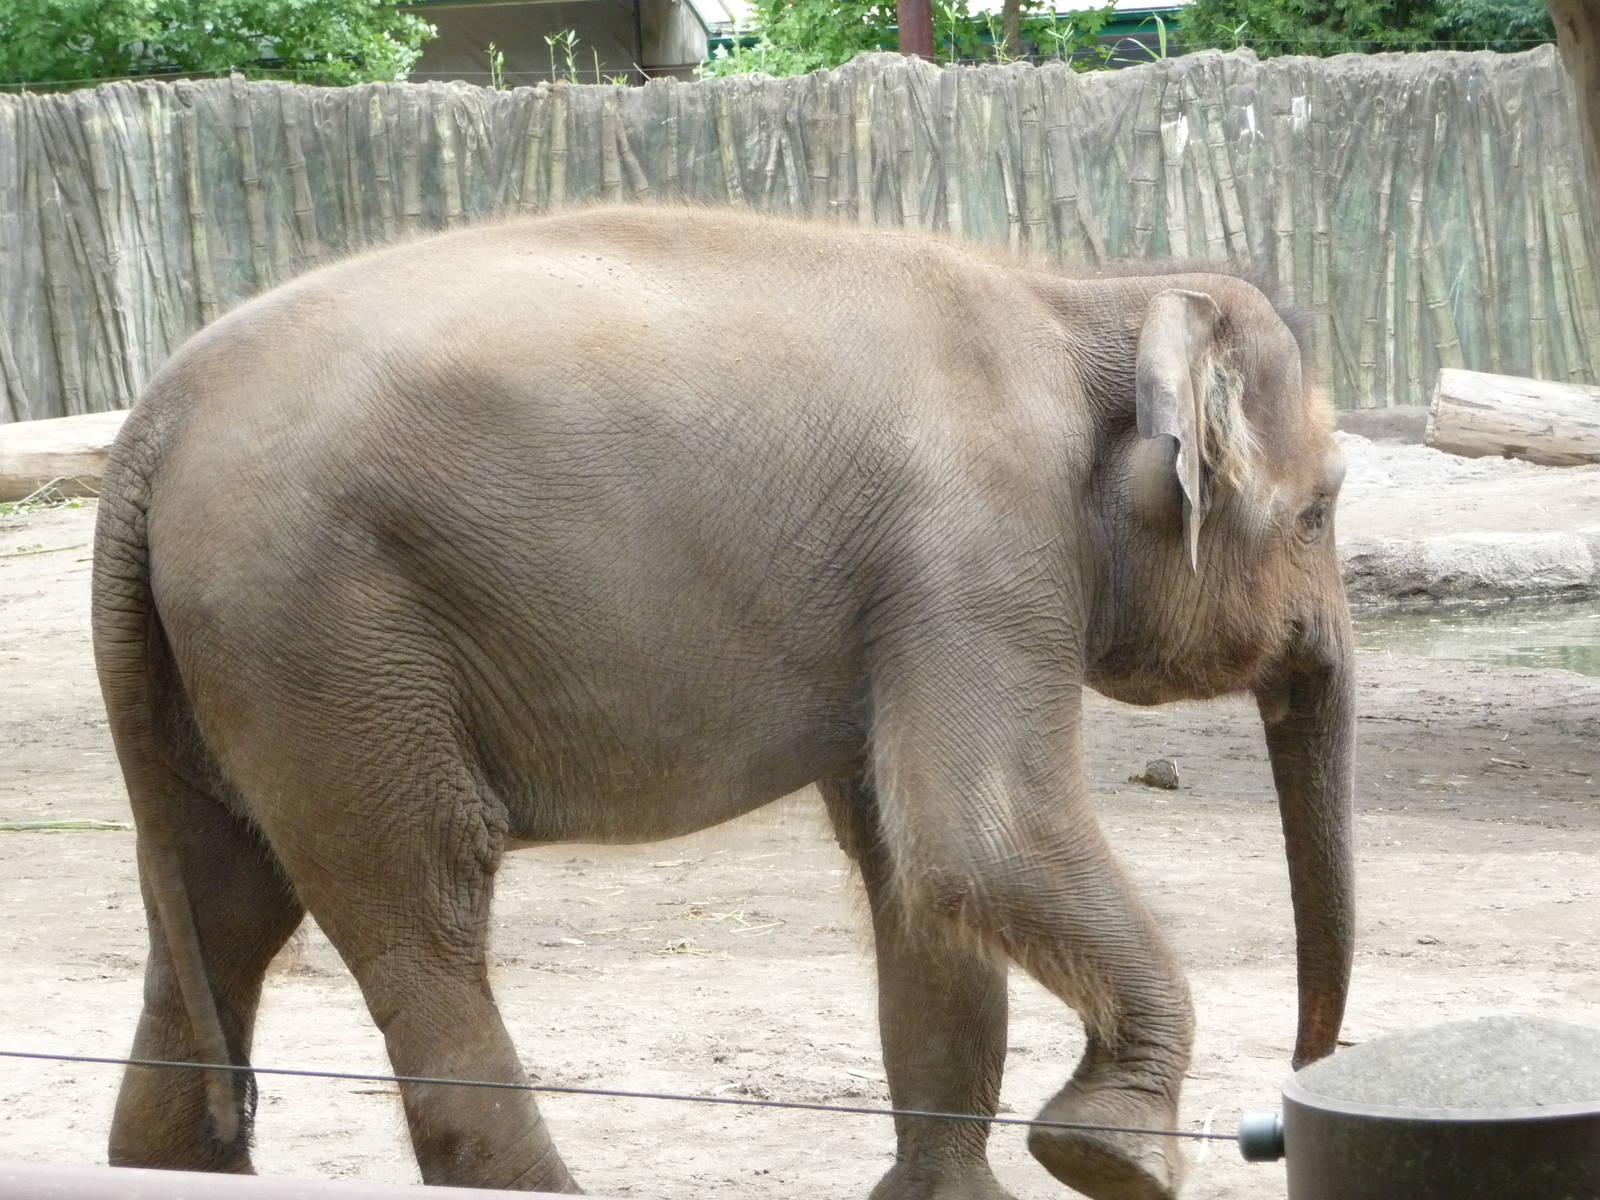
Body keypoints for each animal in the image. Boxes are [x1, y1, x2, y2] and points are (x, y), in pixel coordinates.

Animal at [92, 204, 1354, 1200]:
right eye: (1321, 510)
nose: (1284, 1116)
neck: (1090, 302)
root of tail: (153, 419)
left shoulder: (921, 583)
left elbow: (913, 873)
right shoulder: (984, 541)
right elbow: (979, 839)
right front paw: (1113, 1160)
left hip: (231, 657)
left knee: (222, 907)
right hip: (328, 633)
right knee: (419, 906)